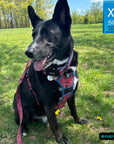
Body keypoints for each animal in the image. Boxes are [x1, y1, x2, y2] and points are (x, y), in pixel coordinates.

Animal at [13, 0, 88, 143]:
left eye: (48, 34)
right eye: (33, 35)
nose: (28, 52)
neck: (62, 69)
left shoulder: (72, 95)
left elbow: (74, 110)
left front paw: (78, 120)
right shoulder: (48, 103)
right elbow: (54, 123)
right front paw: (60, 138)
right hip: (21, 106)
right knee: (19, 119)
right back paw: (23, 129)